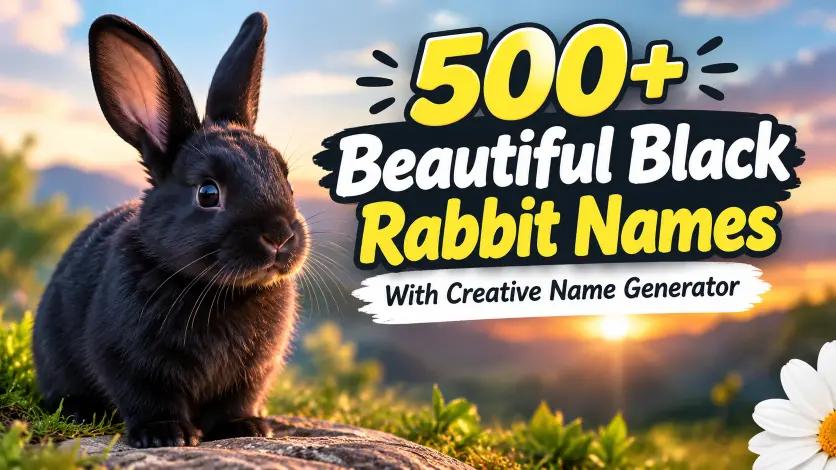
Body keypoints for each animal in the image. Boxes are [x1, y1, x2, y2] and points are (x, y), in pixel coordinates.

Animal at [32, 12, 309, 448]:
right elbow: (148, 397)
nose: (279, 236)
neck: (217, 290)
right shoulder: (131, 361)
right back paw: (81, 412)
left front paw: (246, 427)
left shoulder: (251, 374)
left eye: (287, 180)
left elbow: (235, 402)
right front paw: (166, 435)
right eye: (208, 193)